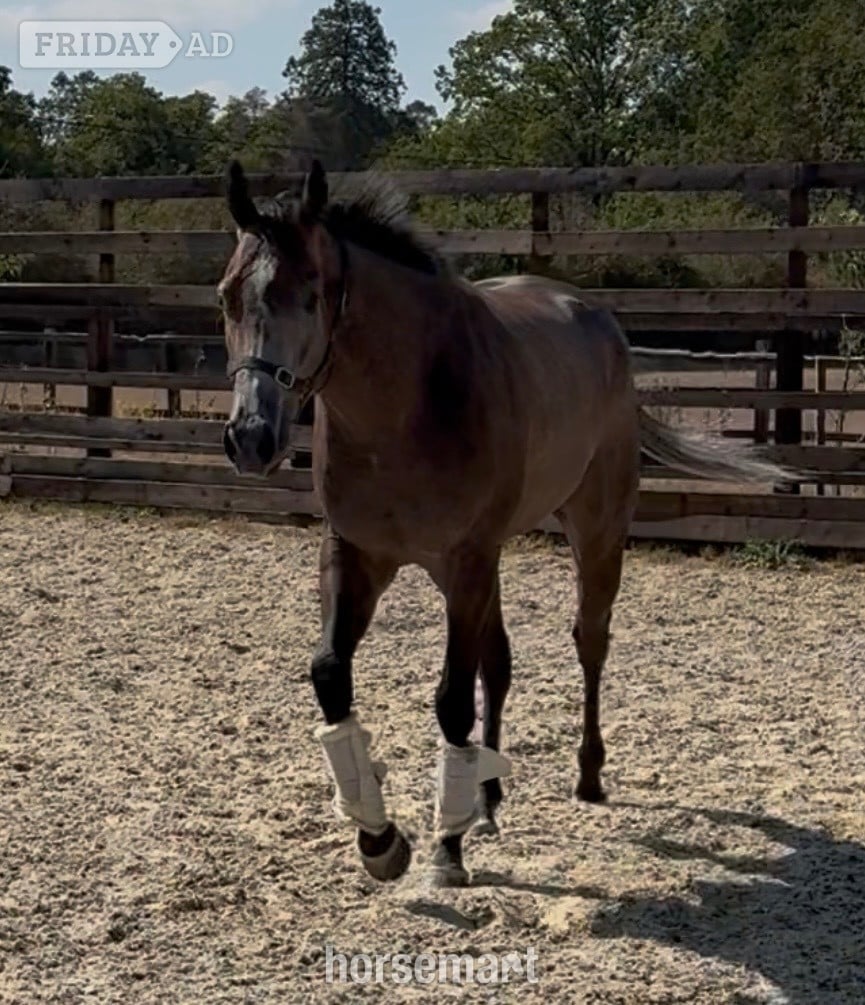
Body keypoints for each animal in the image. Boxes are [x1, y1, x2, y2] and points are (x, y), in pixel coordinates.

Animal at [217, 159, 794, 888]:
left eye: (311, 296)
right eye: (227, 298)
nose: (250, 439)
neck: (404, 405)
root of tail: (593, 316)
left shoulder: (466, 558)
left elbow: (451, 700)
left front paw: (445, 849)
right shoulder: (357, 554)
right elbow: (331, 673)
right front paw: (381, 840)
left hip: (593, 532)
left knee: (588, 642)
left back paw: (585, 777)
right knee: (499, 662)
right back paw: (486, 801)